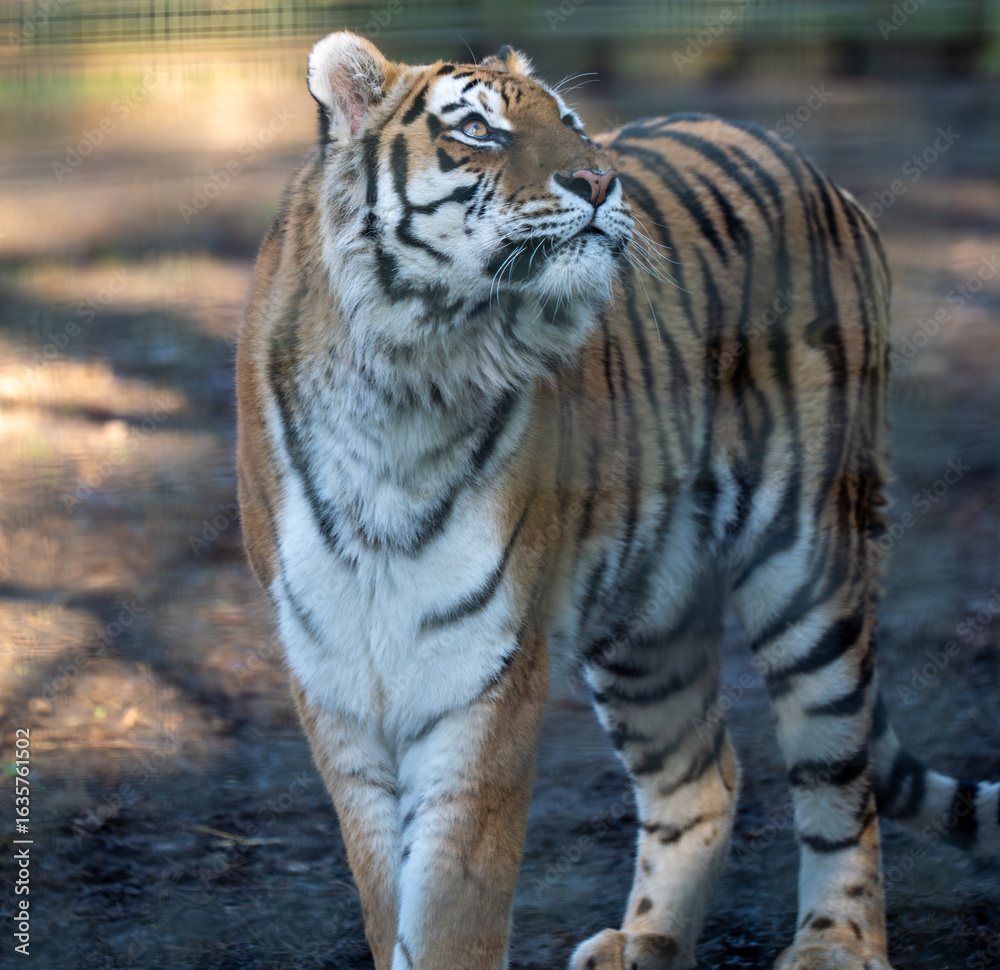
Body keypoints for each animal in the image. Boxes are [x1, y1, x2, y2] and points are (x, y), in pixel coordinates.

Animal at [235, 30, 1000, 970]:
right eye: (478, 130)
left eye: (570, 123)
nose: (600, 181)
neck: (404, 381)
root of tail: (808, 163)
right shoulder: (336, 674)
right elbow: (388, 895)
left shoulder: (484, 668)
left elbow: (451, 902)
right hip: (647, 617)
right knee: (703, 773)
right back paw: (646, 941)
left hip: (810, 567)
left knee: (838, 780)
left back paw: (837, 945)